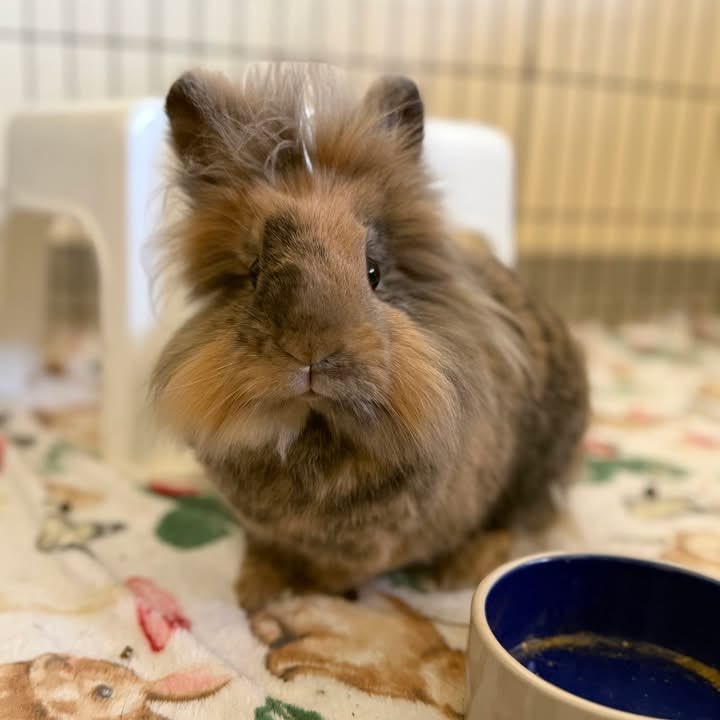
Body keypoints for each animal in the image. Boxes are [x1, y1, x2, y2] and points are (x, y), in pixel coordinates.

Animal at [151, 64, 589, 611]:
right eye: (252, 272)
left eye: (374, 271)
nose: (311, 350)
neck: (313, 434)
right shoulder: (265, 530)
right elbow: (264, 552)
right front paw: (254, 593)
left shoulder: (377, 543)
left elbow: (339, 569)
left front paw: (312, 596)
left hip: (533, 471)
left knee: (514, 525)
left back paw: (456, 572)